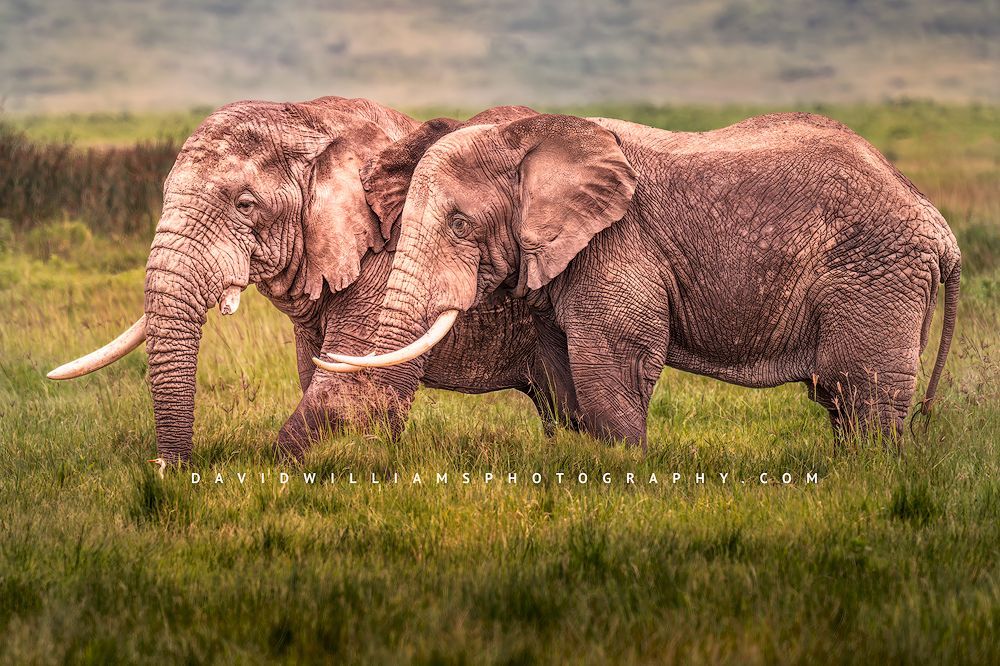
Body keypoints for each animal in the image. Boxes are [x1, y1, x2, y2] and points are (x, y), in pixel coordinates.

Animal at [47, 97, 559, 463]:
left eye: (245, 205)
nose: (166, 471)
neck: (314, 120)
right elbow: (317, 374)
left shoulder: (394, 257)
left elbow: (345, 388)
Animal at [317, 112, 962, 448]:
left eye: (459, 224)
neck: (529, 131)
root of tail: (940, 228)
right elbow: (565, 370)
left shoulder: (619, 242)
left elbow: (616, 360)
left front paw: (621, 475)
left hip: (876, 270)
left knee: (860, 392)